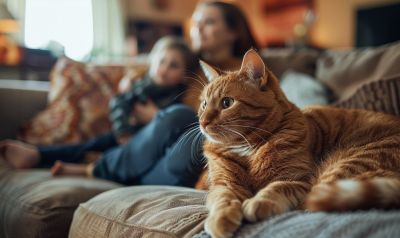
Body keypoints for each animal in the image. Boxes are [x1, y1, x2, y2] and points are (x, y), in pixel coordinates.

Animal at [199, 49, 400, 237]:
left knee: (315, 203)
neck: (248, 148)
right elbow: (223, 198)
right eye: (204, 104)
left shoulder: (298, 179)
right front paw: (220, 219)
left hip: (344, 166)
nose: (202, 122)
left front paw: (259, 201)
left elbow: (278, 187)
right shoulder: (223, 183)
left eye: (227, 103)